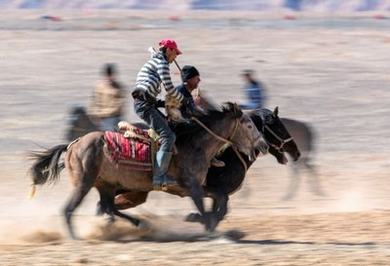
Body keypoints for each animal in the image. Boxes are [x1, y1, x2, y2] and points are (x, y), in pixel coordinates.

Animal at [29, 102, 268, 239]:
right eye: (248, 125)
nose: (263, 145)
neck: (195, 143)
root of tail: (73, 144)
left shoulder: (193, 187)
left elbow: (221, 200)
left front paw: (208, 223)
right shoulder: (191, 187)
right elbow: (204, 206)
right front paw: (210, 228)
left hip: (105, 185)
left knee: (107, 206)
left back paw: (137, 223)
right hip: (83, 184)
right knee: (69, 209)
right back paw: (75, 237)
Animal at [113, 107, 302, 228]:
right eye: (279, 127)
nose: (297, 152)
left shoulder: (214, 192)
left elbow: (219, 210)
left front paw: (200, 219)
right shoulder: (212, 189)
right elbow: (221, 209)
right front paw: (197, 218)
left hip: (134, 192)